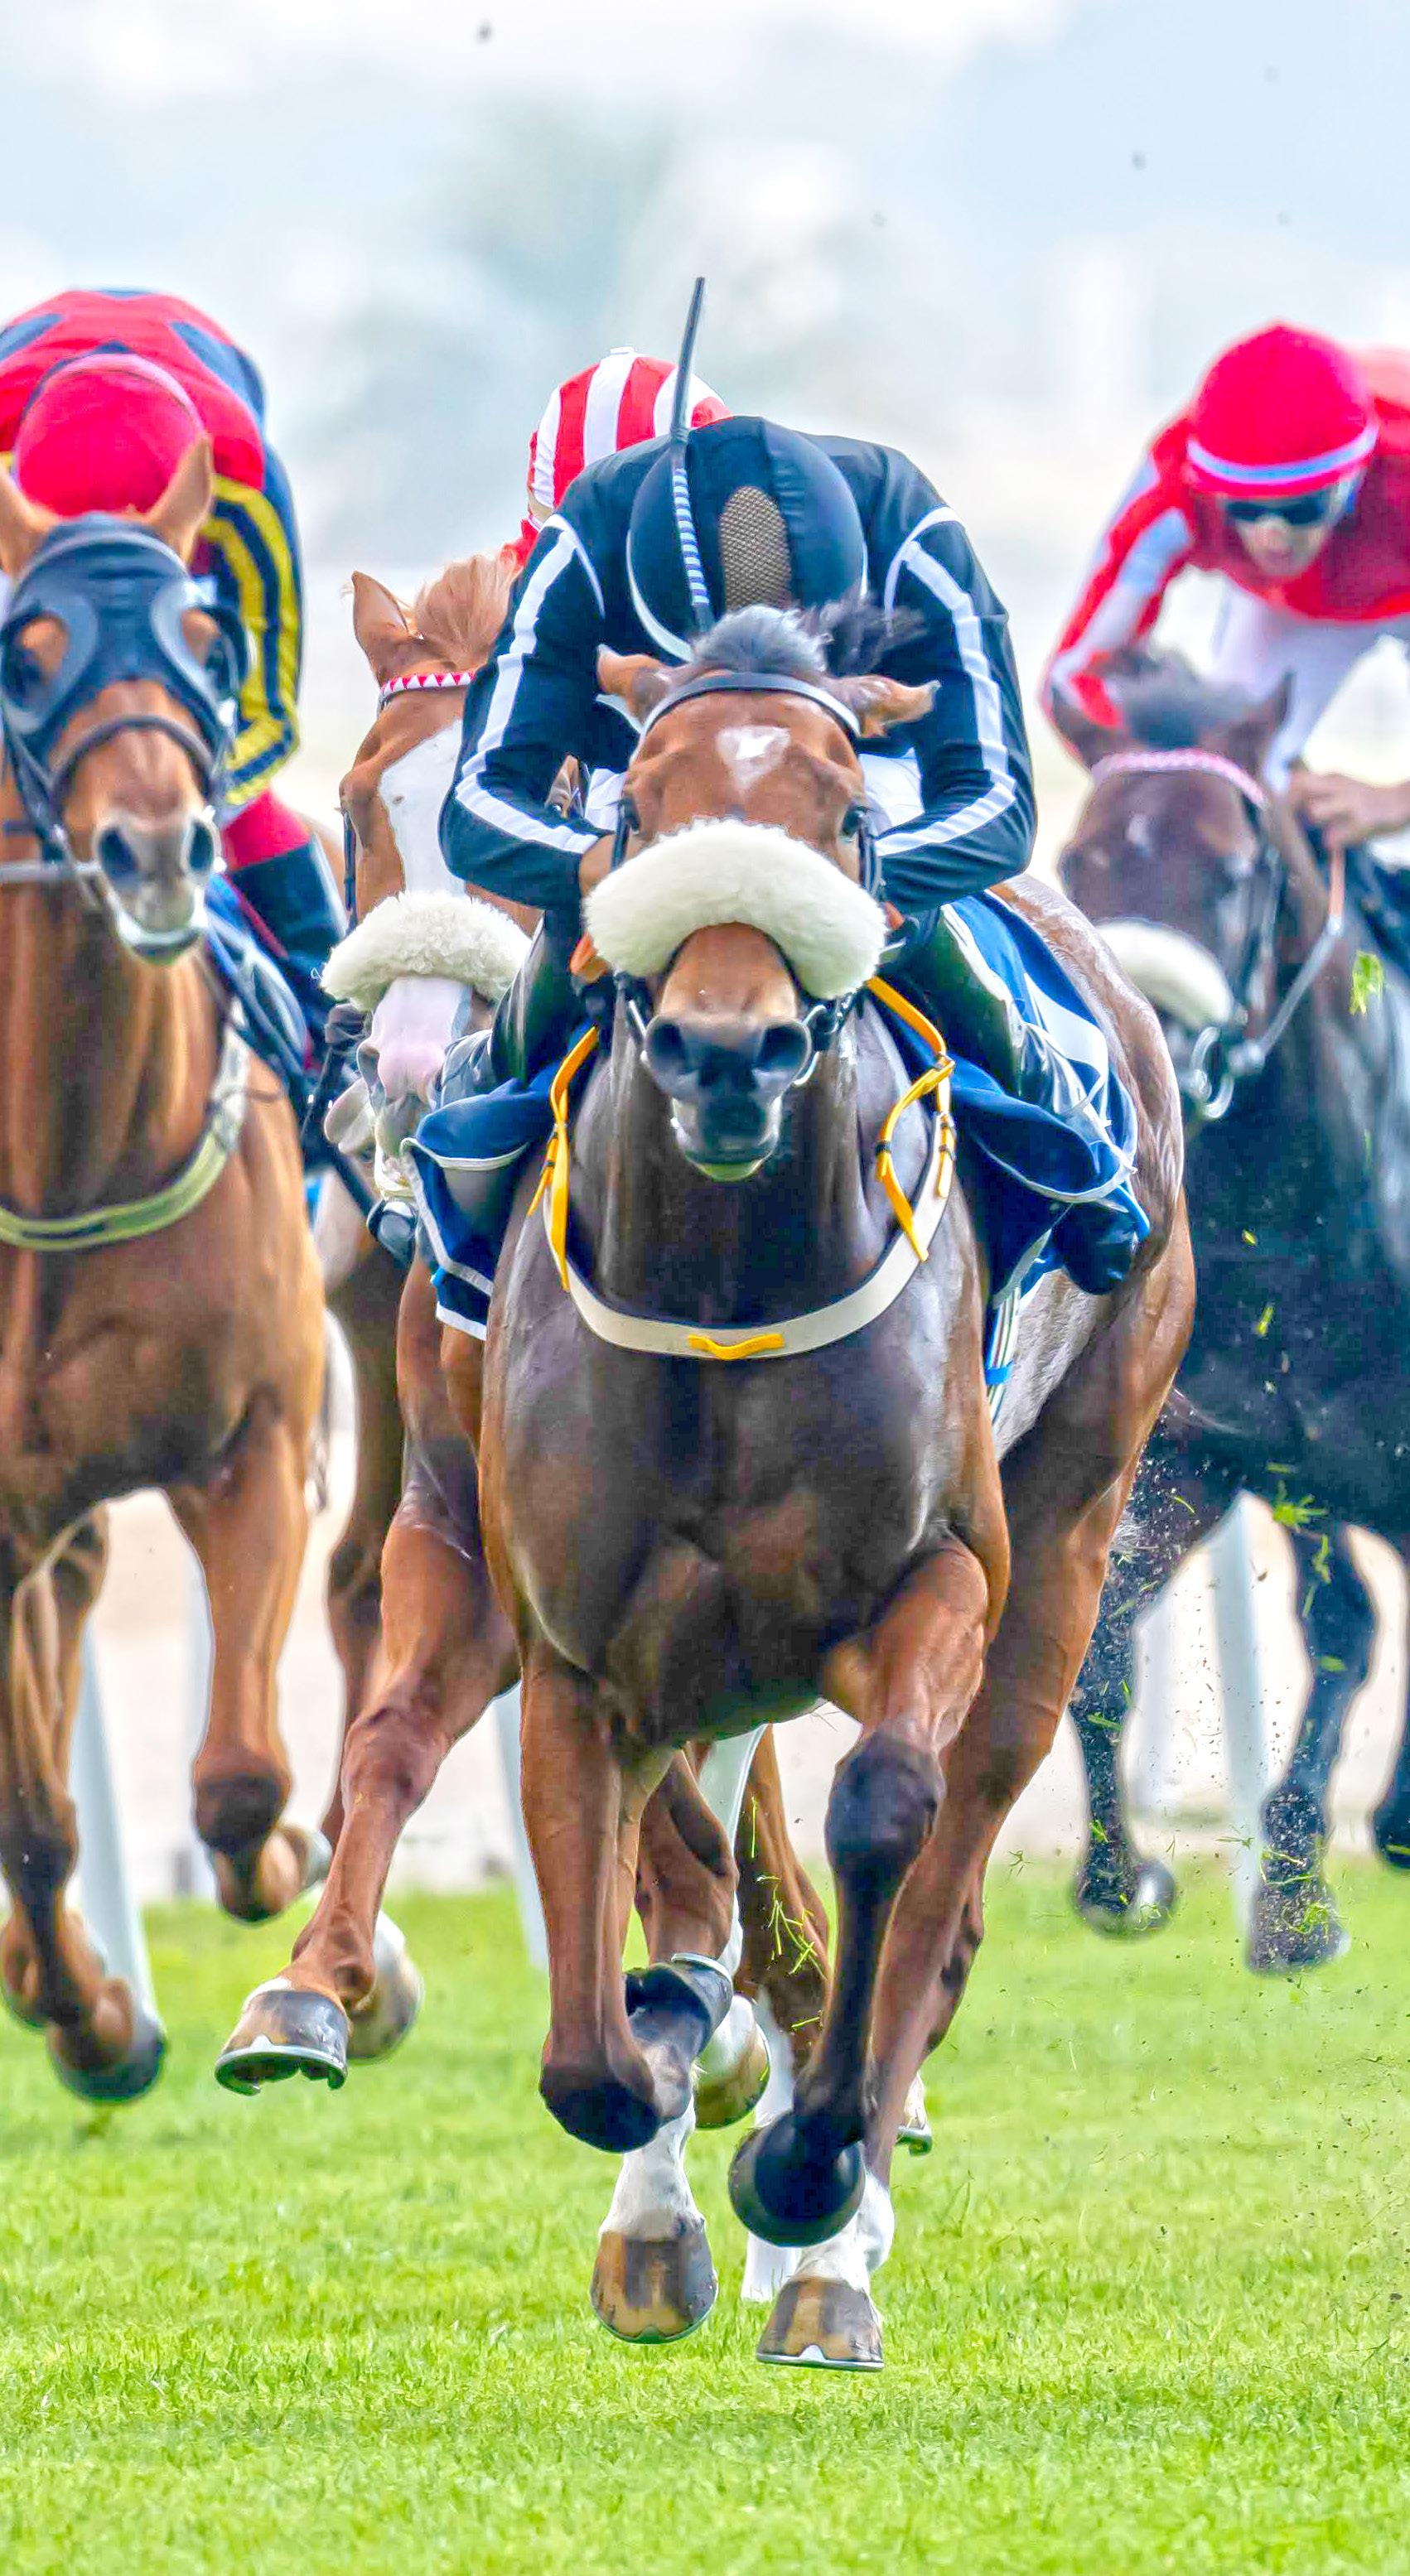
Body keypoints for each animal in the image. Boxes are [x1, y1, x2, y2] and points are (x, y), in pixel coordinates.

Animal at [467, 604, 1191, 2368]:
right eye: (635, 809)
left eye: (849, 816)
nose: (730, 1054)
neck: (726, 1290)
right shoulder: (581, 1649)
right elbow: (594, 2042)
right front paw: (678, 2059)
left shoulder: (933, 1581)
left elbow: (882, 1816)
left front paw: (803, 2161)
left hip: (1070, 1532)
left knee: (948, 1872)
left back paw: (832, 2244)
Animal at [1056, 650, 1410, 1970]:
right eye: (1081, 859)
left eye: (1231, 870)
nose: (1149, 1046)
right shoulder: (1220, 1451)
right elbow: (1105, 1636)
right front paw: (1124, 1878)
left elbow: (1347, 1630)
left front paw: (1299, 1901)